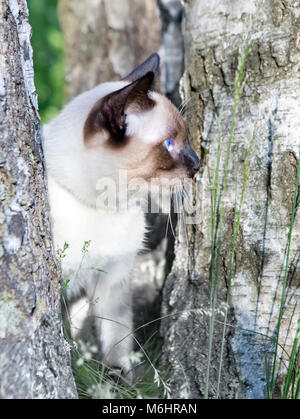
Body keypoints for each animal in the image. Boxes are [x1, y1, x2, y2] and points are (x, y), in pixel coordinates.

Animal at [42, 53, 199, 384]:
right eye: (170, 144)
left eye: (185, 140)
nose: (198, 164)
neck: (104, 207)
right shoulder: (65, 285)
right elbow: (69, 339)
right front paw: (82, 376)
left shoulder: (113, 279)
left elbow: (117, 340)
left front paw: (118, 381)